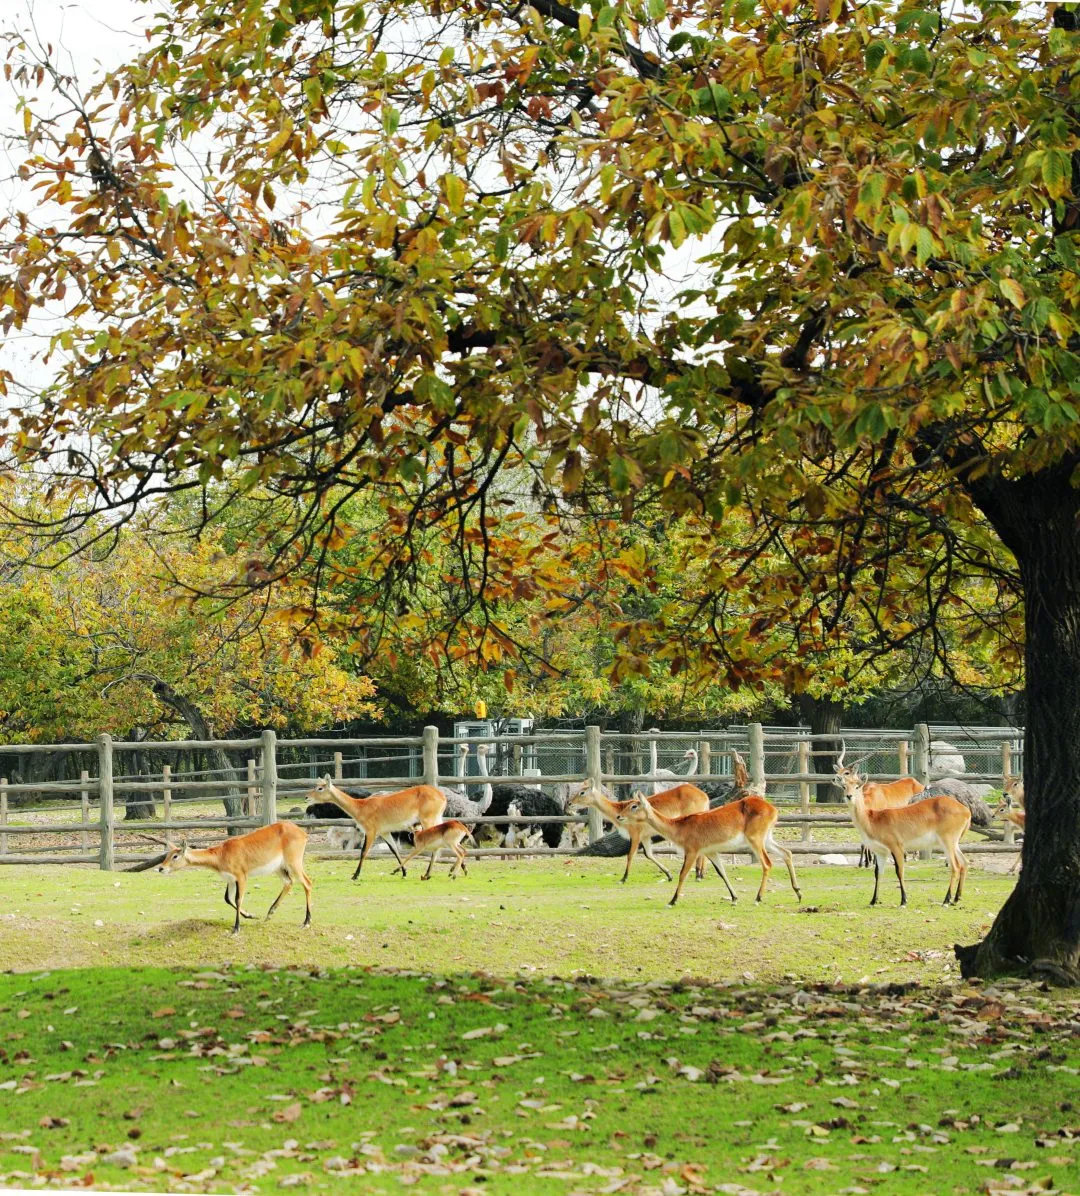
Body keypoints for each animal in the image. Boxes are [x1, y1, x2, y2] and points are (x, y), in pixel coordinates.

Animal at [157, 822, 315, 932]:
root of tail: (302, 833)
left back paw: (306, 922)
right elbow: (228, 899)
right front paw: (251, 915)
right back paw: (269, 914)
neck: (221, 854)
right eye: (167, 855)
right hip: (279, 868)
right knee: (289, 882)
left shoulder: (241, 877)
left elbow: (238, 899)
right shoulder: (231, 879)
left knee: (307, 883)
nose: (161, 868)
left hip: (294, 864)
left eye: (175, 856)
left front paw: (236, 928)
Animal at [301, 775, 444, 880]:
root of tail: (441, 796)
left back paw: (427, 874)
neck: (361, 806)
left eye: (320, 788)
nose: (306, 797)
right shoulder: (384, 832)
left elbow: (363, 852)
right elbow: (394, 850)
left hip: (427, 821)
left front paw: (355, 875)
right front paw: (403, 872)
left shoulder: (370, 831)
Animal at [566, 779, 708, 885]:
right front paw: (669, 875)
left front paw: (623, 879)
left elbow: (630, 855)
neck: (619, 810)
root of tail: (703, 795)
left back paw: (698, 875)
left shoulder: (635, 834)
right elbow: (648, 854)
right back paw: (701, 874)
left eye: (582, 792)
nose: (569, 803)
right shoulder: (645, 836)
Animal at [612, 794, 798, 904]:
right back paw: (798, 892)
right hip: (767, 839)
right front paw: (734, 897)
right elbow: (722, 872)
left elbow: (682, 874)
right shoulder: (710, 852)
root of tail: (773, 808)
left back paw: (758, 898)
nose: (619, 816)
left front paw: (672, 901)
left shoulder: (692, 851)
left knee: (767, 864)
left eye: (634, 806)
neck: (679, 827)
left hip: (756, 841)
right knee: (787, 853)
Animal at [837, 765, 971, 904]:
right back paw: (956, 898)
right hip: (954, 843)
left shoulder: (897, 847)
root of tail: (966, 810)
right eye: (844, 786)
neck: (872, 819)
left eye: (857, 786)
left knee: (956, 866)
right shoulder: (880, 851)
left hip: (947, 842)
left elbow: (899, 871)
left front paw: (903, 900)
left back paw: (946, 900)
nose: (849, 796)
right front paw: (873, 900)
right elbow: (878, 873)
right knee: (965, 863)